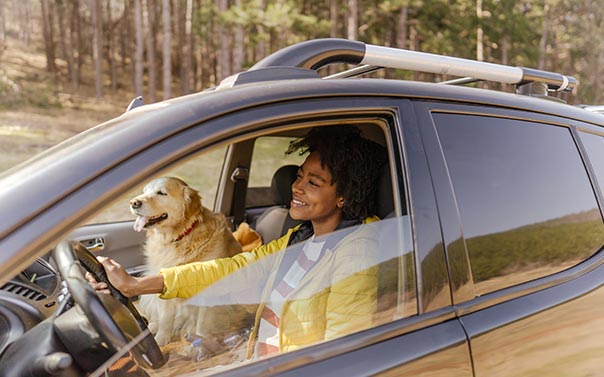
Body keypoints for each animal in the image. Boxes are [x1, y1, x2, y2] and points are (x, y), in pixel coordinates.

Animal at [130, 176, 252, 356]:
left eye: (161, 193)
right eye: (144, 191)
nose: (133, 203)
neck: (179, 238)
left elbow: (202, 323)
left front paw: (202, 343)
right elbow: (165, 318)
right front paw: (161, 340)